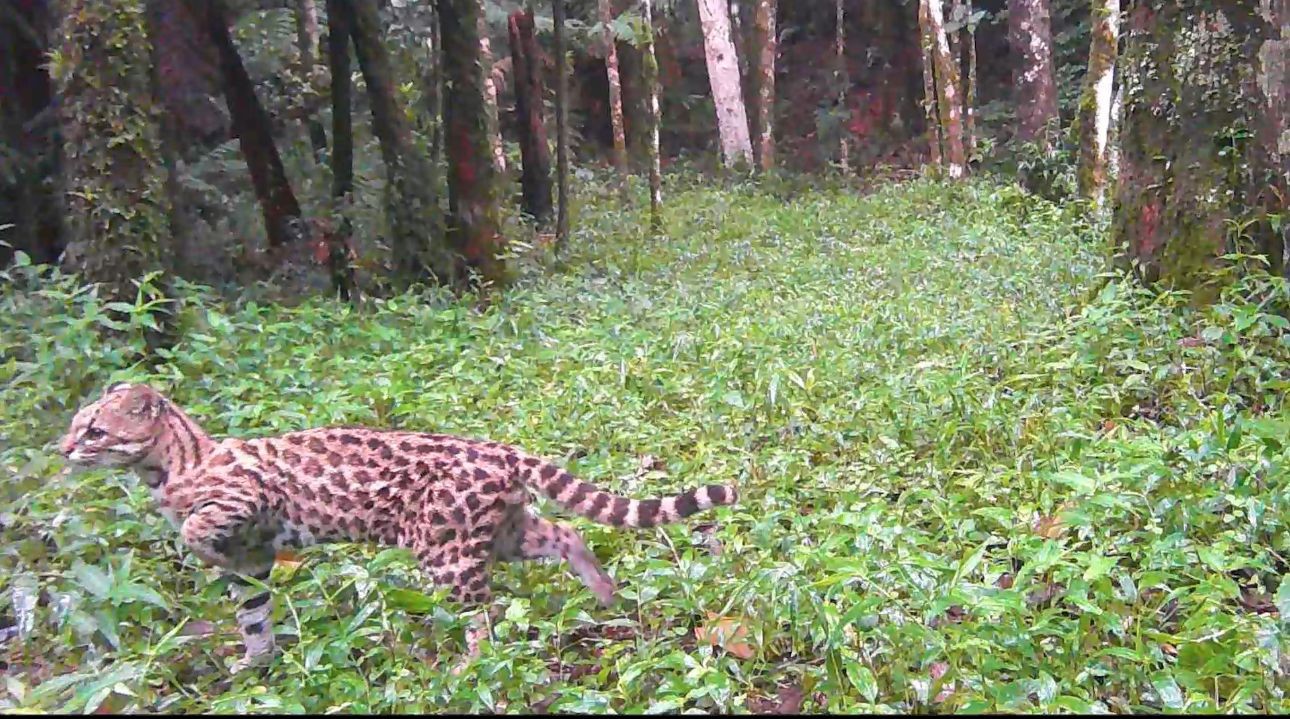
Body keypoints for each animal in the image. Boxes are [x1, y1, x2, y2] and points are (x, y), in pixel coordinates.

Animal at [58, 384, 737, 671]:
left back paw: (469, 670)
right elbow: (252, 616)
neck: (169, 465)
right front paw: (255, 664)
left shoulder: (247, 500)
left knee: (484, 614)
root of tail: (500, 450)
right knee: (565, 534)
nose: (62, 448)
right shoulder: (253, 565)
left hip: (444, 551)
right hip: (501, 532)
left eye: (94, 429)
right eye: (76, 423)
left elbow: (198, 527)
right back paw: (603, 590)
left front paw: (194, 539)